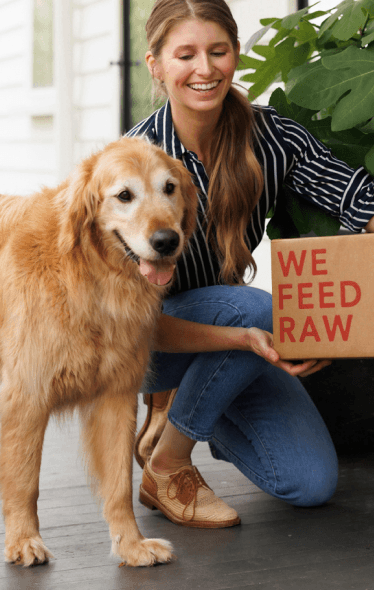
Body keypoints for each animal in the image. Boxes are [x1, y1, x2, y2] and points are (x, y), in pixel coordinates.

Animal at [0, 138, 197, 568]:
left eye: (169, 188)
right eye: (124, 195)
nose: (166, 241)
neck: (90, 276)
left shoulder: (117, 396)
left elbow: (120, 484)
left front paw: (132, 545)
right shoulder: (26, 397)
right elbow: (24, 481)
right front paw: (24, 540)